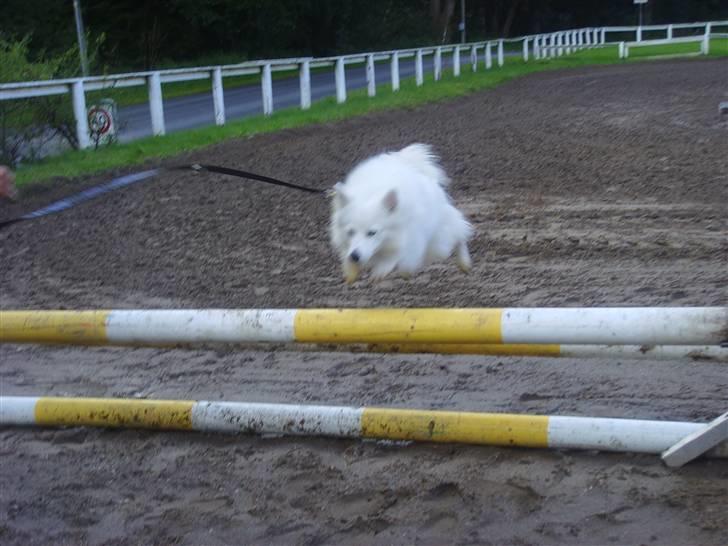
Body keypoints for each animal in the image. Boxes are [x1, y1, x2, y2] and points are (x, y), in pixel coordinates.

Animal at [328, 142, 472, 282]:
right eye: (350, 232)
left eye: (372, 233)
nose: (355, 256)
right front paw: (351, 272)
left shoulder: (409, 239)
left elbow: (396, 257)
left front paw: (382, 270)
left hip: (439, 243)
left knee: (460, 234)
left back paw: (464, 262)